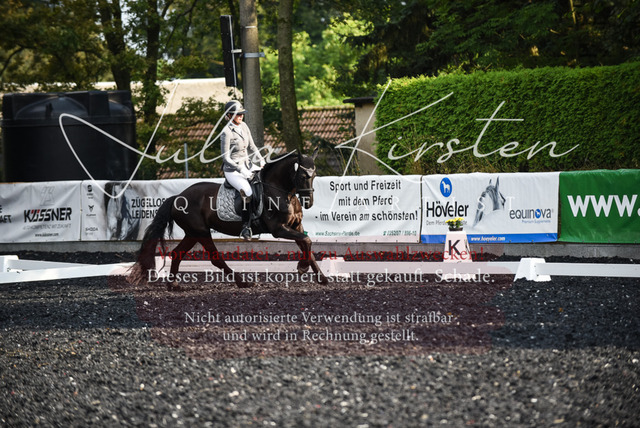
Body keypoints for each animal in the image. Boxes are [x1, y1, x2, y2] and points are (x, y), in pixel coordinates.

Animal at [128, 148, 327, 289]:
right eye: (303, 175)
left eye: (315, 175)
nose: (309, 202)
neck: (282, 192)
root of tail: (178, 197)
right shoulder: (279, 229)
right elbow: (307, 241)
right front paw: (302, 268)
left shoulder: (297, 226)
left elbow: (307, 245)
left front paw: (321, 278)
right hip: (201, 232)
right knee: (215, 258)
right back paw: (243, 282)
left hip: (192, 233)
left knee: (178, 253)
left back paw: (173, 284)